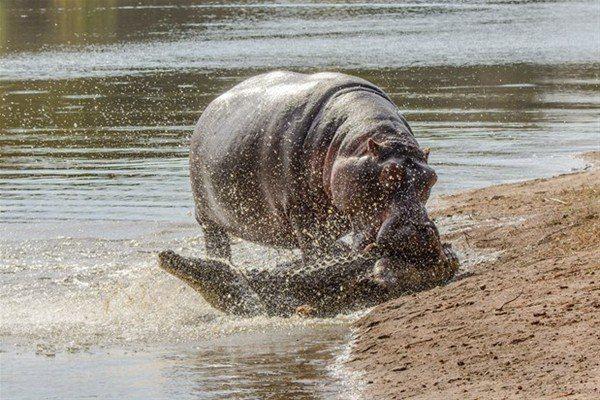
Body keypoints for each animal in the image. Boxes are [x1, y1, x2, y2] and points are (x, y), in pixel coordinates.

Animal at [190, 70, 442, 264]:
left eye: (431, 178)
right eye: (388, 174)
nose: (421, 232)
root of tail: (210, 108)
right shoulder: (302, 211)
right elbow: (314, 250)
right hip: (207, 218)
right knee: (217, 244)